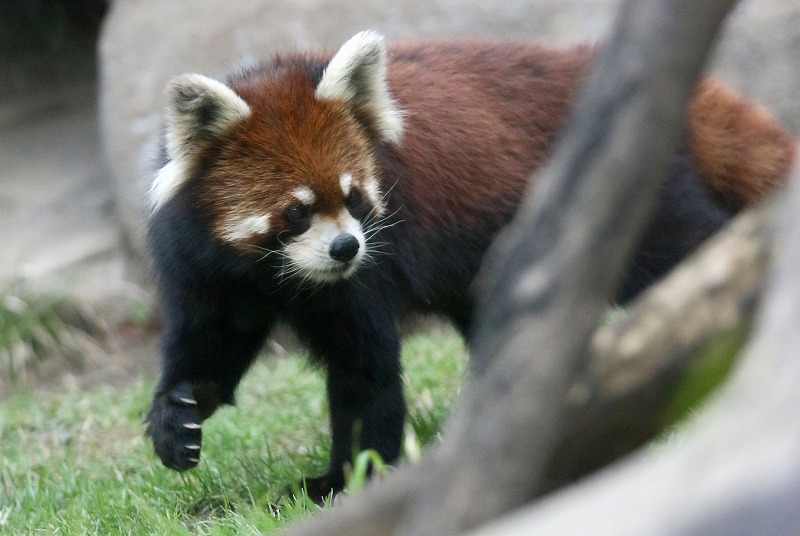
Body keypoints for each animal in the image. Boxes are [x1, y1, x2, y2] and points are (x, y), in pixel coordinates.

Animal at [145, 29, 800, 498]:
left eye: (353, 197)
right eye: (297, 212)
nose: (345, 248)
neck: (278, 276)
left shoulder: (368, 270)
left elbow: (365, 373)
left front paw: (345, 477)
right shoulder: (205, 269)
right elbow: (209, 346)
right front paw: (177, 418)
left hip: (636, 201)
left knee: (693, 248)